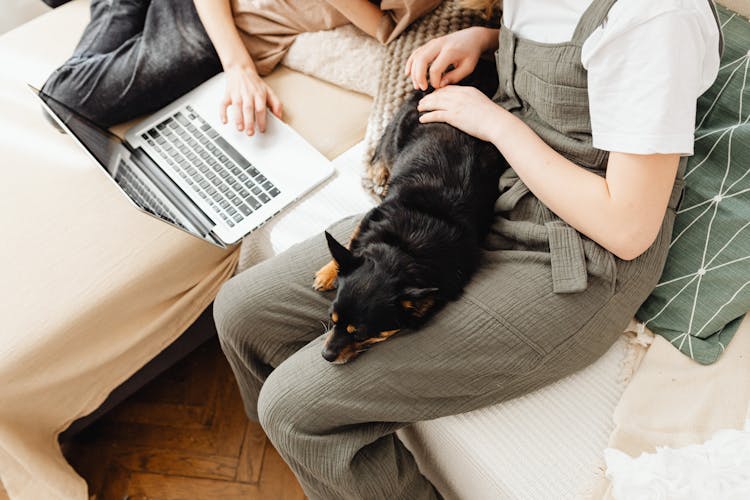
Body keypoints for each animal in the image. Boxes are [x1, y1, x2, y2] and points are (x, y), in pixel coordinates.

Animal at [314, 65, 508, 364]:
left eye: (360, 334)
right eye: (331, 318)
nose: (326, 355)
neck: (402, 248)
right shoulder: (371, 217)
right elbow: (350, 243)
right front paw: (328, 272)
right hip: (399, 132)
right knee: (382, 153)